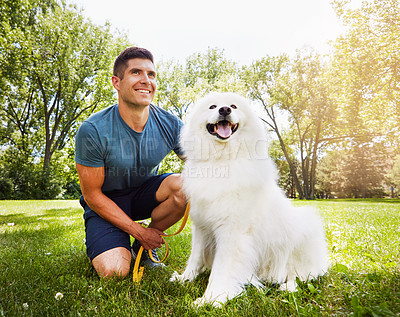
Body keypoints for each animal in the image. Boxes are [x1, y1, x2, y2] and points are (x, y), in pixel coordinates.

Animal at [170, 92, 330, 306]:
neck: (221, 160)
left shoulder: (231, 232)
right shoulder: (201, 226)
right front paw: (185, 279)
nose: (224, 110)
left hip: (306, 227)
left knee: (301, 274)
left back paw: (287, 287)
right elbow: (195, 257)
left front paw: (212, 299)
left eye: (233, 106)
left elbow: (221, 269)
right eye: (212, 106)